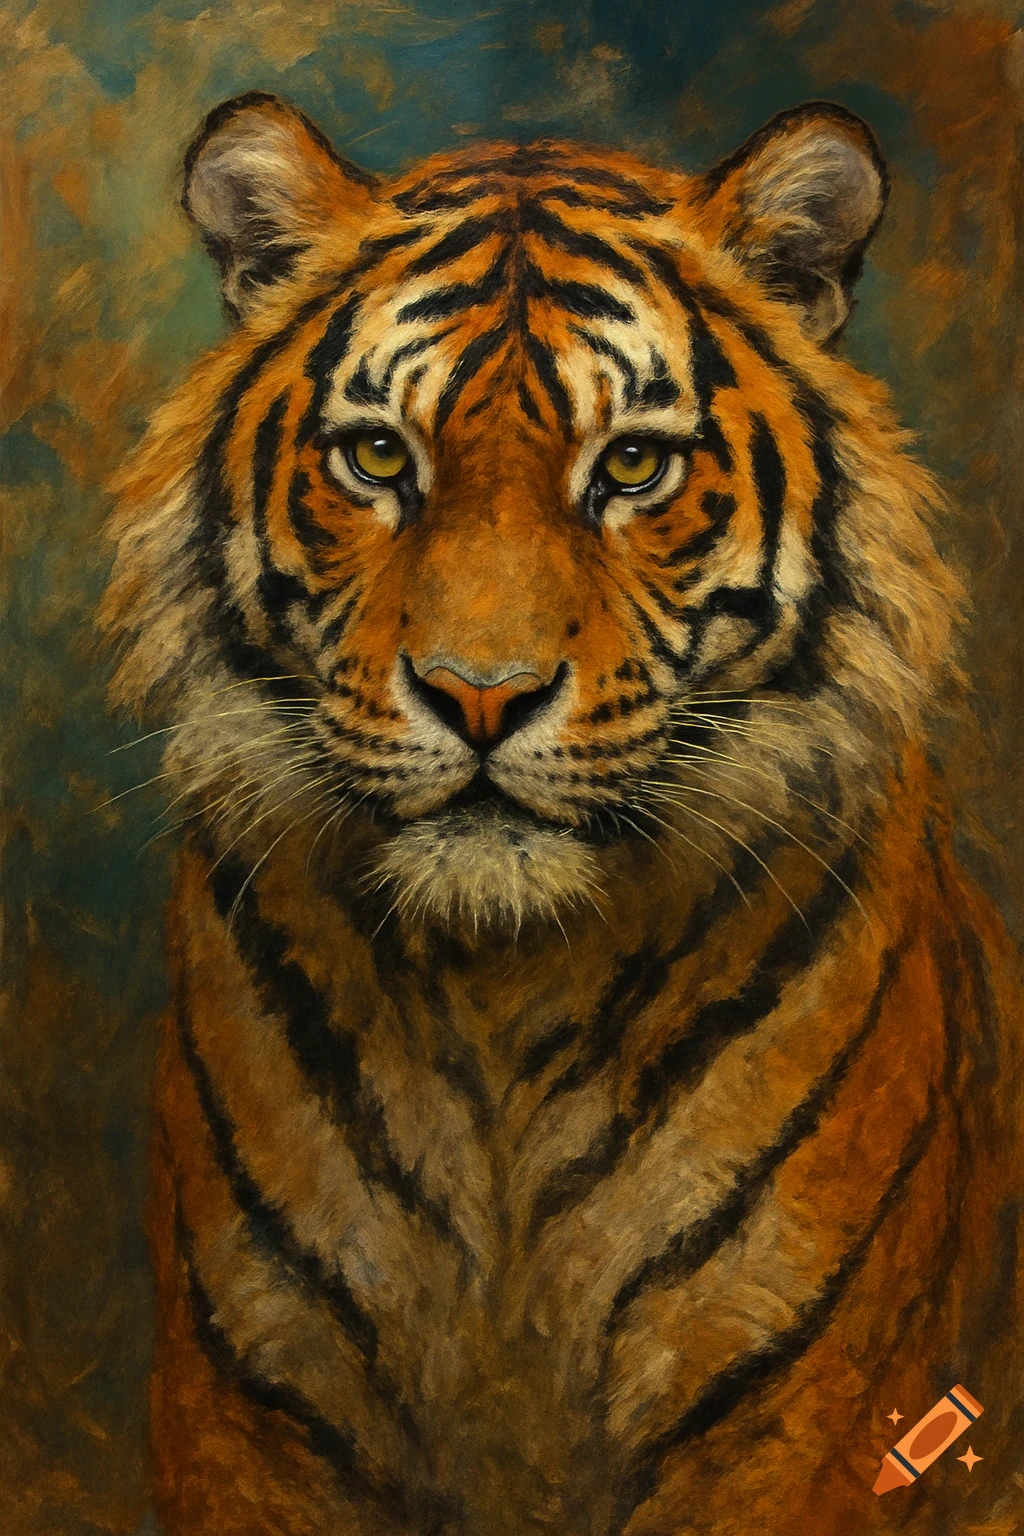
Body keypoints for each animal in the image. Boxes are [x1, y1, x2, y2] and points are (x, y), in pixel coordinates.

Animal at [100, 92, 1023, 1536]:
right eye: (378, 455)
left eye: (633, 465)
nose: (482, 694)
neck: (499, 1004)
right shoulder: (250, 1410)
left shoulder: (803, 1422)